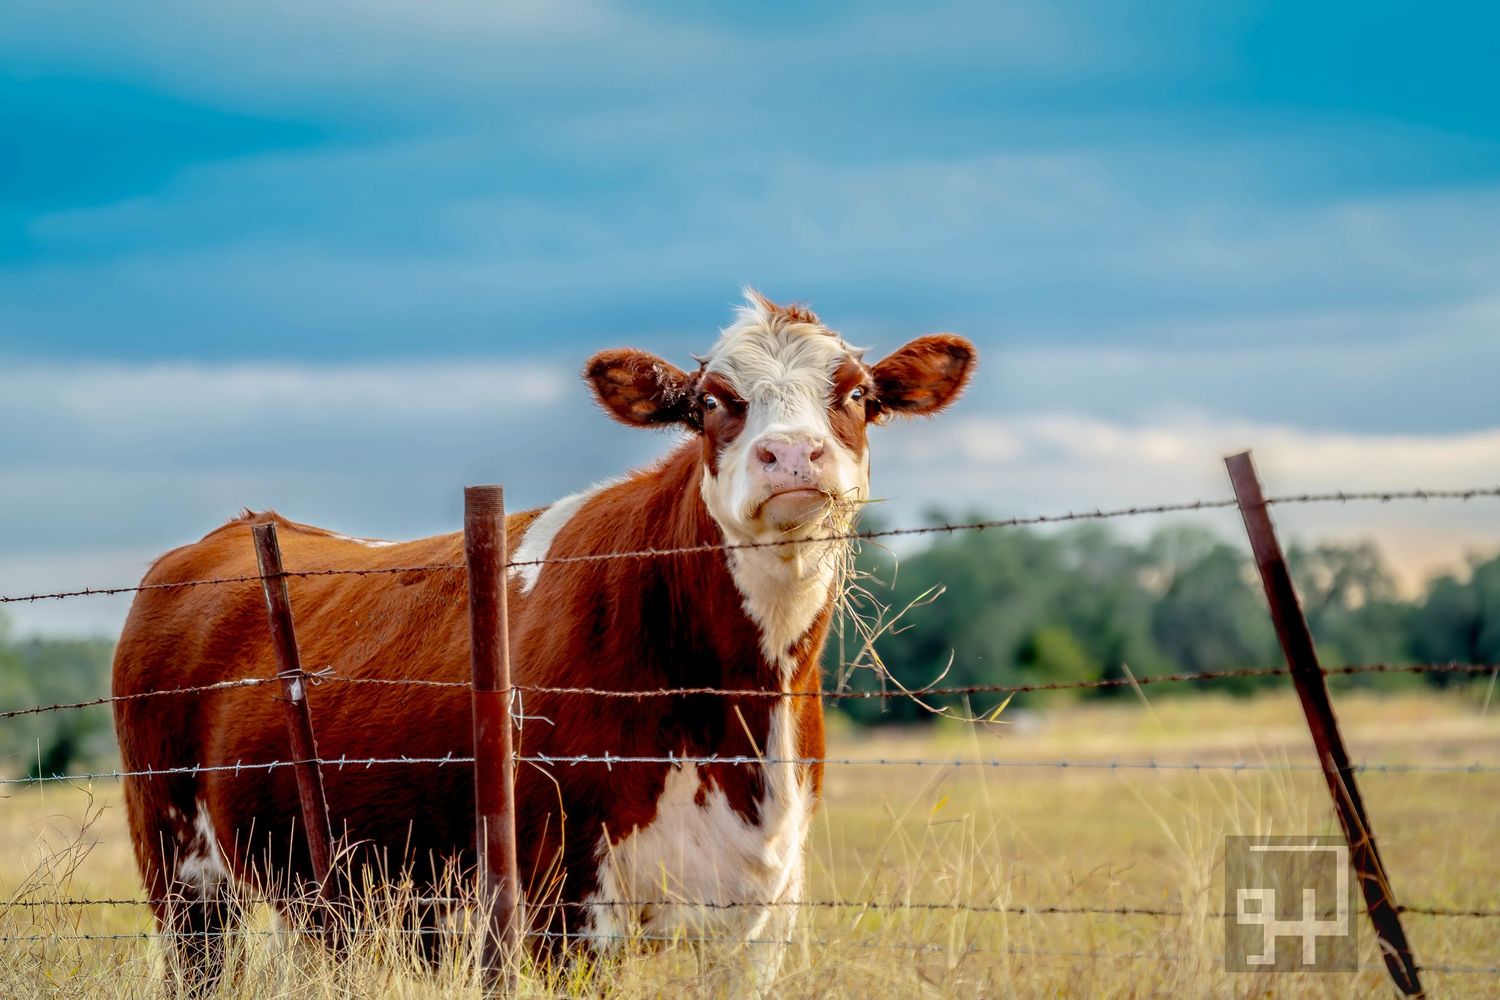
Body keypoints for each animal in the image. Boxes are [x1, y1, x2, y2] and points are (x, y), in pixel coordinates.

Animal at [112, 290, 975, 992]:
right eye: (713, 401)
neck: (734, 712)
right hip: (183, 874)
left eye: (855, 393)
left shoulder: (758, 913)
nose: (792, 455)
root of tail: (231, 531)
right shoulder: (562, 903)